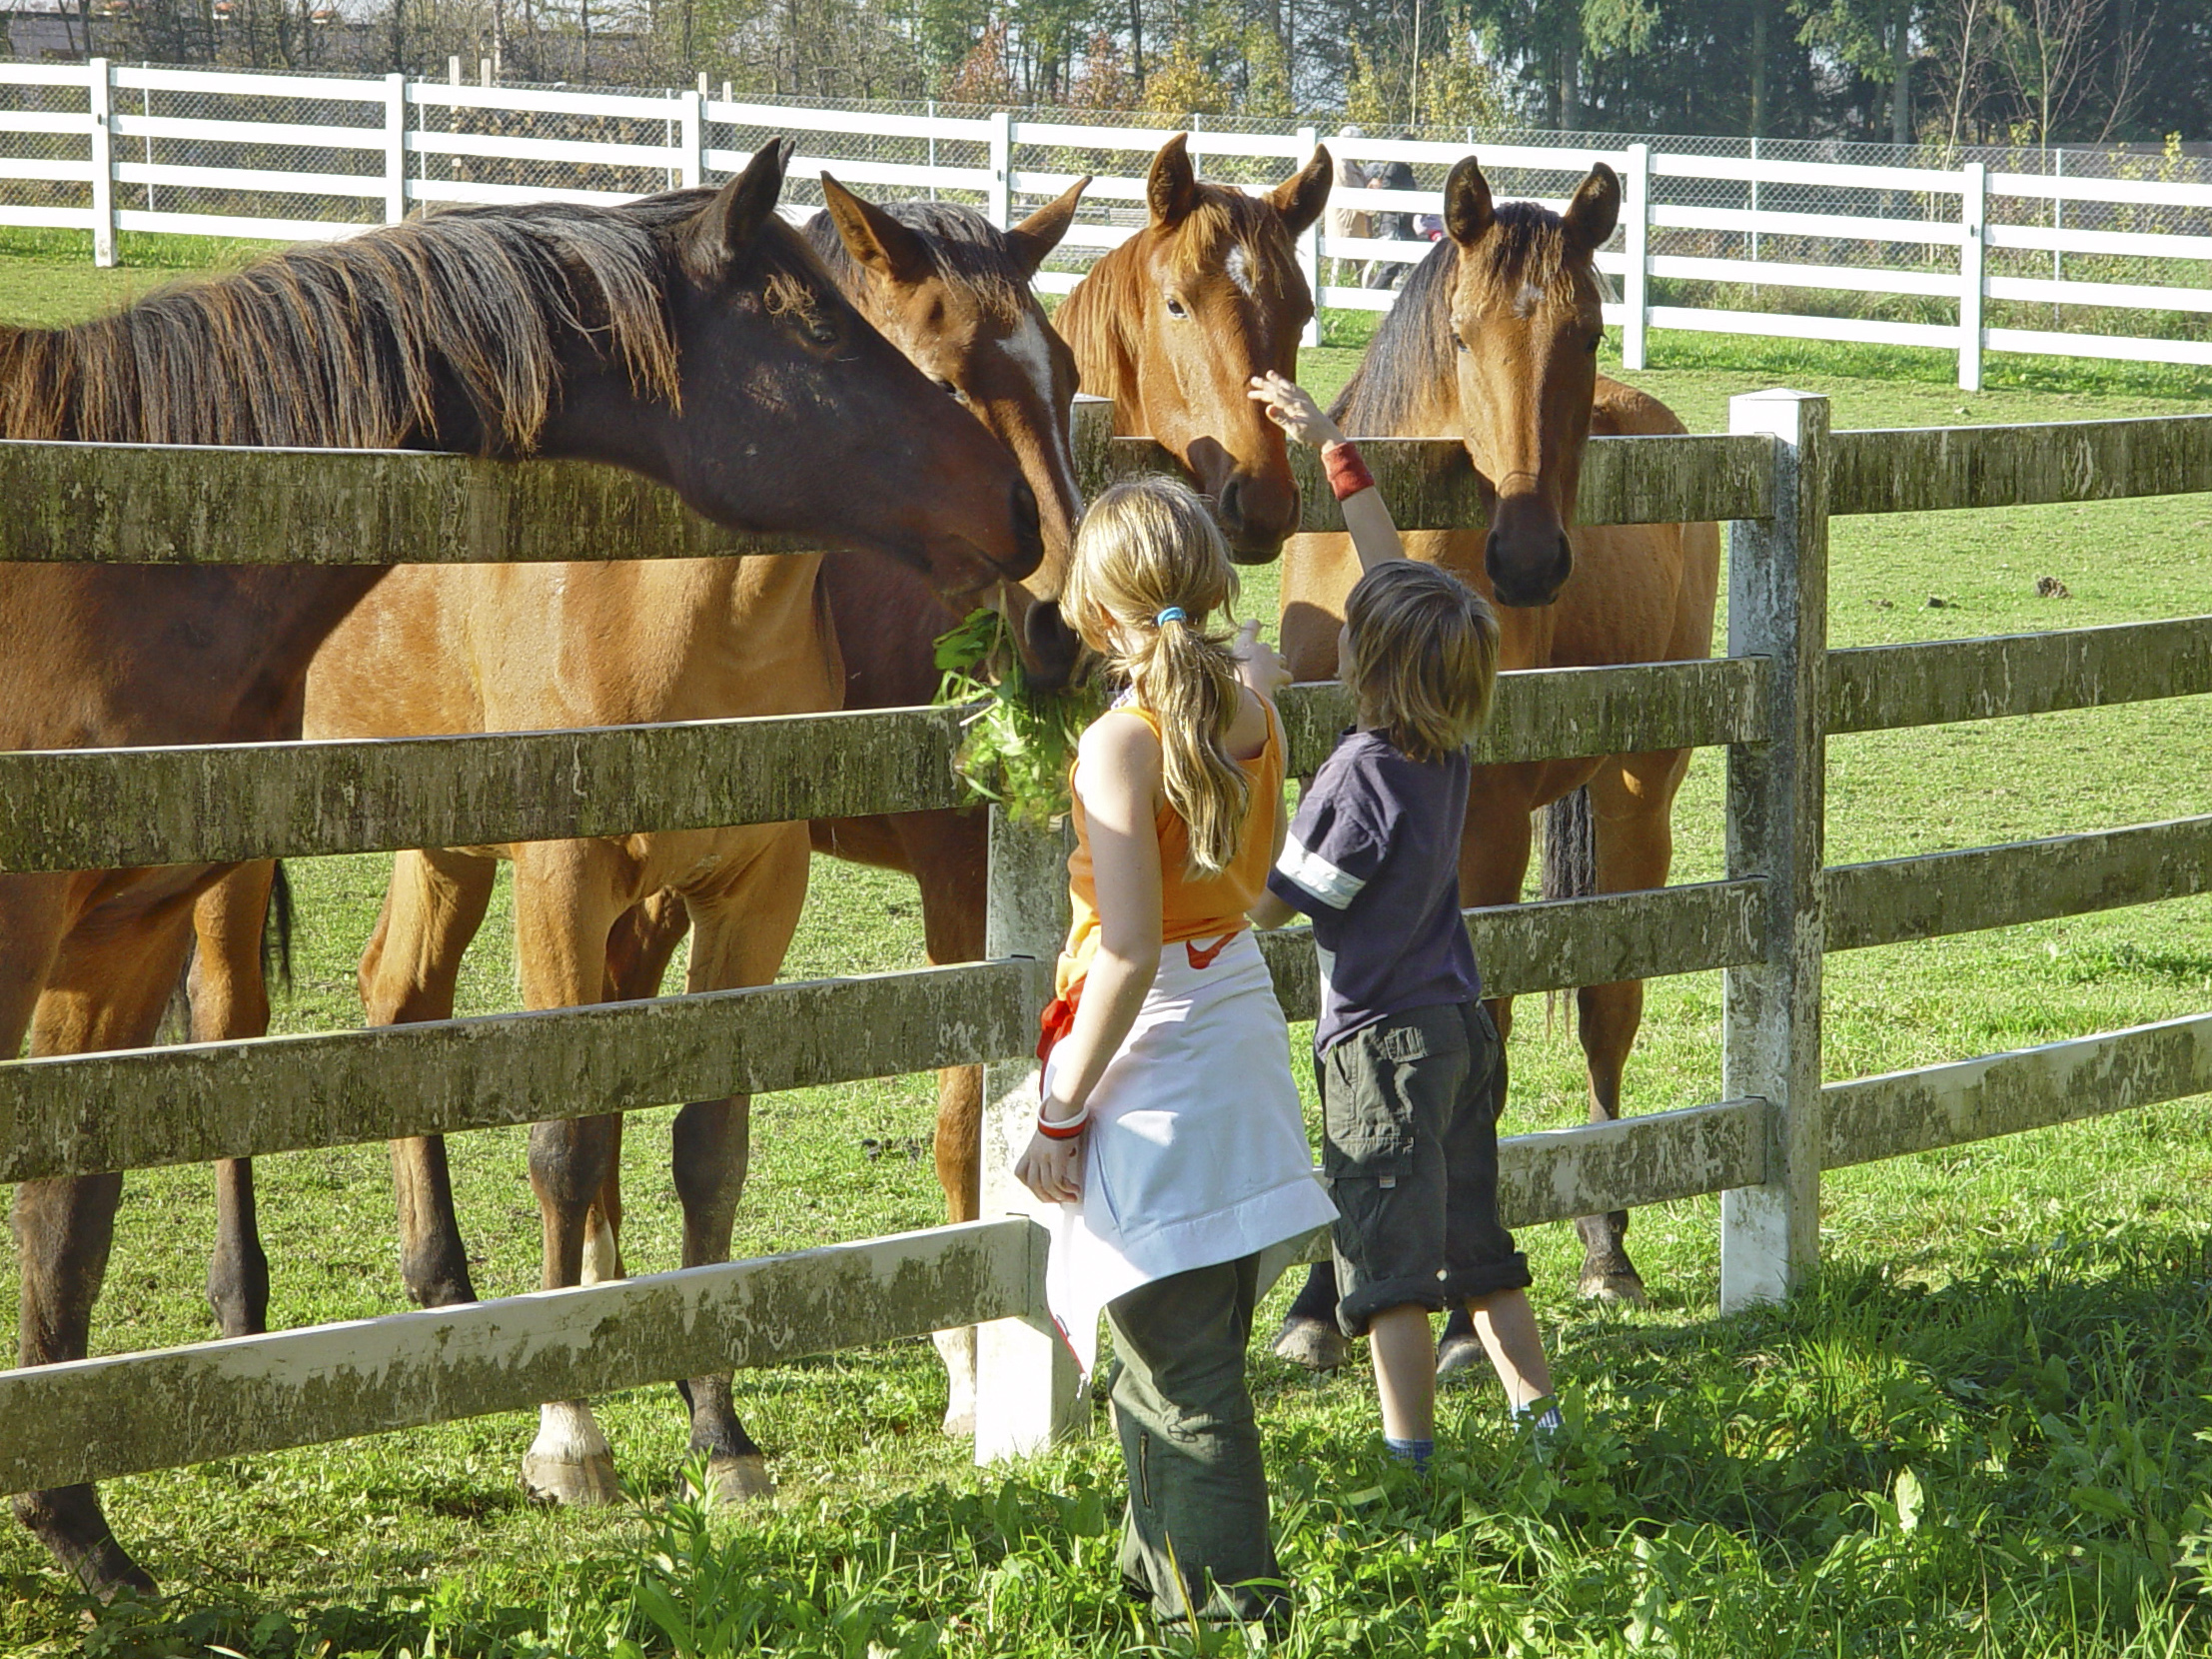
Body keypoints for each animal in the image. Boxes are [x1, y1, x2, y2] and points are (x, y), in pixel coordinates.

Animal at [0, 137, 1043, 1601]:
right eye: (826, 329)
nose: (1022, 518)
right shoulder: (570, 872)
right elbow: (565, 1134)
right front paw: (570, 1433)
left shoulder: (747, 890)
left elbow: (704, 1144)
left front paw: (716, 1426)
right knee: (239, 1034)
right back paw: (243, 1308)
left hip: (434, 846)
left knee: (398, 1007)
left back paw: (441, 1289)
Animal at [1271, 157, 1721, 1370]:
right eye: (1465, 335)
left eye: (1589, 329)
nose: (1527, 556)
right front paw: (1315, 1302)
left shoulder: (1485, 834)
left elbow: (1485, 1031)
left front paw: (1457, 1314)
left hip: (1635, 794)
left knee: (1609, 1002)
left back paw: (1605, 1245)